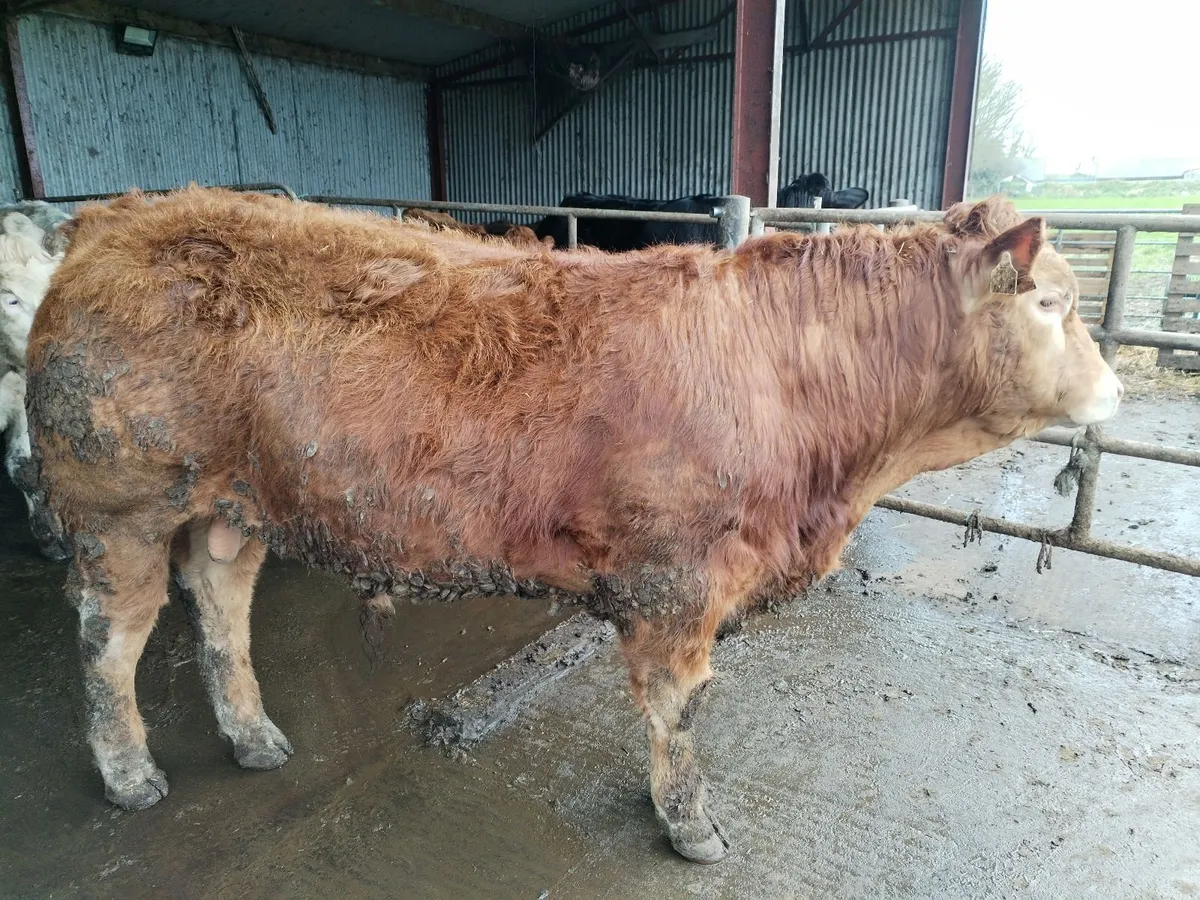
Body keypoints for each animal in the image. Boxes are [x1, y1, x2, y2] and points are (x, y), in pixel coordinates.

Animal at [25, 187, 1122, 864]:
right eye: (1054, 304)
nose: (1114, 390)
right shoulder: (677, 581)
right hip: (119, 507)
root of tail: (110, 220)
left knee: (218, 605)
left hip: (231, 507)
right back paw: (130, 774)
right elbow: (681, 711)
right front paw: (688, 826)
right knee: (109, 640)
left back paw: (253, 736)